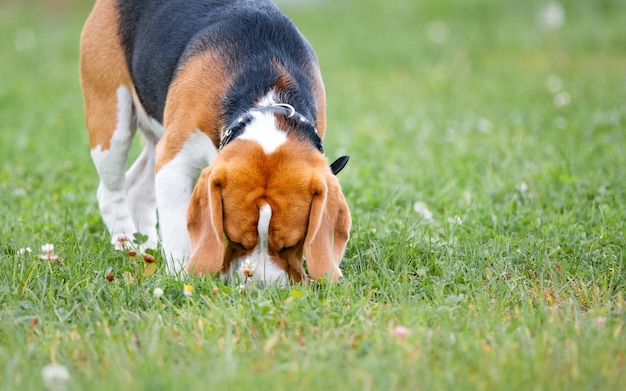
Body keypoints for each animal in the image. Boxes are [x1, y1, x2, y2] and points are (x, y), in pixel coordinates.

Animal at [78, 0, 352, 284]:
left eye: (292, 244)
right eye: (237, 240)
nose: (261, 286)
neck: (267, 97)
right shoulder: (174, 164)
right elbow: (177, 229)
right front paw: (182, 276)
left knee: (138, 188)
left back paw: (147, 249)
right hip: (112, 121)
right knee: (110, 192)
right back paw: (127, 244)